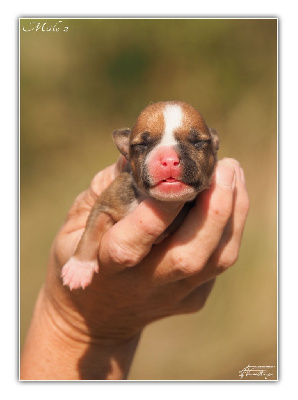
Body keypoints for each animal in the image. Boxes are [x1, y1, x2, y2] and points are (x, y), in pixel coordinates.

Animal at [61, 101, 219, 290]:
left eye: (198, 142)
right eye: (141, 145)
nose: (168, 160)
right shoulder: (105, 204)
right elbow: (92, 231)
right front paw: (79, 267)